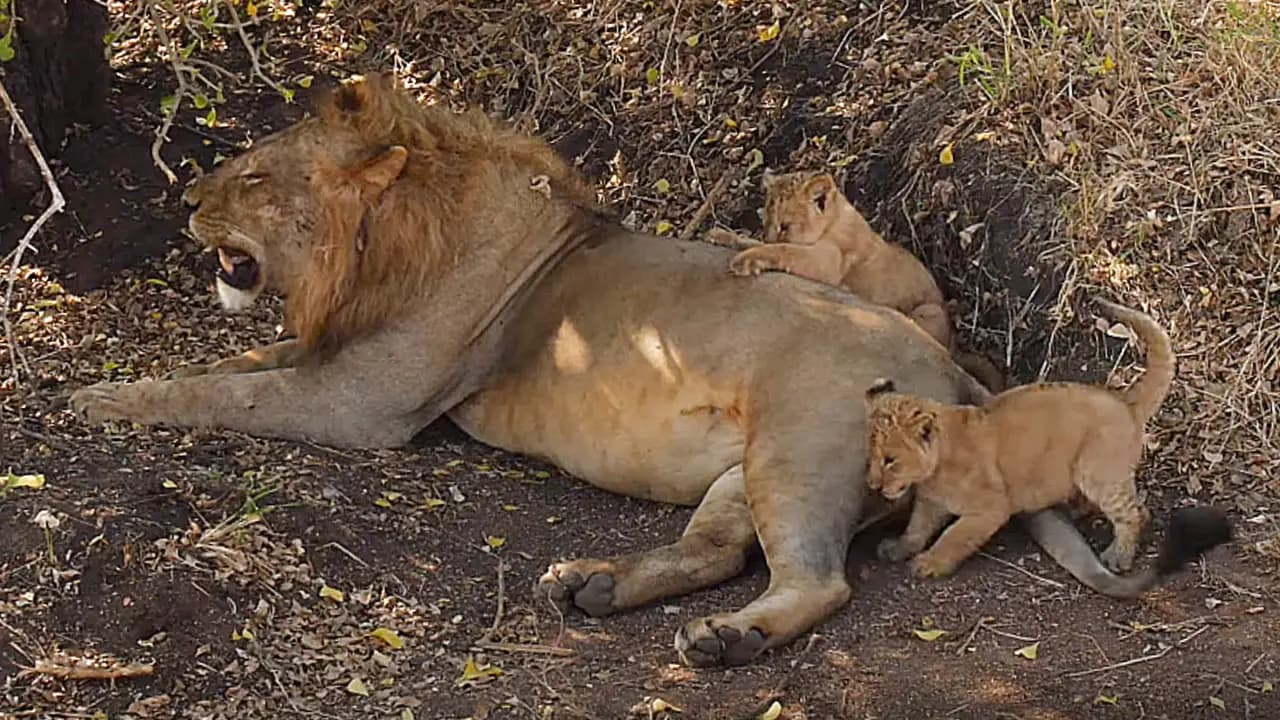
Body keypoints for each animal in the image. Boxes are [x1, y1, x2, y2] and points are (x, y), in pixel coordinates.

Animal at [706, 170, 1003, 389]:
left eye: (785, 226)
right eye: (765, 222)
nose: (769, 233)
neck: (835, 218)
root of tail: (955, 345)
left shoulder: (825, 262)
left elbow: (784, 250)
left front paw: (746, 260)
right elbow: (753, 242)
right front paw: (721, 236)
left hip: (928, 311)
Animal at [860, 298, 1228, 589]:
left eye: (890, 460)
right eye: (872, 456)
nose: (873, 485)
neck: (935, 470)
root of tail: (1124, 401)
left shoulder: (991, 508)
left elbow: (954, 537)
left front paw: (930, 563)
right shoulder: (930, 502)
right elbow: (916, 528)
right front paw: (898, 548)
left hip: (1097, 473)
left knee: (1136, 512)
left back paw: (1117, 556)